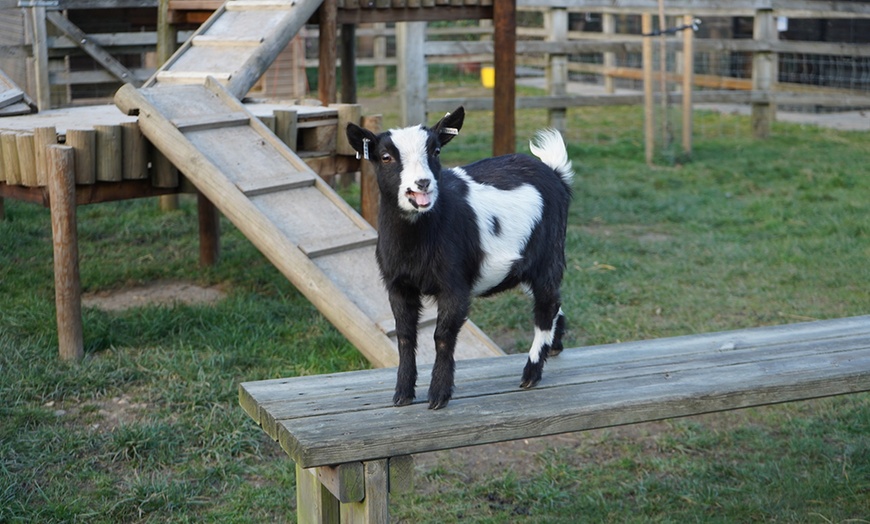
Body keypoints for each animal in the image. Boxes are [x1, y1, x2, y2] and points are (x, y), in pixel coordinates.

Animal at [348, 106, 580, 410]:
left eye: (435, 151)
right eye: (385, 157)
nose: (422, 183)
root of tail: (555, 173)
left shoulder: (454, 283)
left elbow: (442, 336)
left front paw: (438, 395)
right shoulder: (398, 285)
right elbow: (405, 335)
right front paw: (402, 394)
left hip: (548, 255)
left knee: (545, 307)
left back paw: (531, 373)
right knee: (554, 304)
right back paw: (555, 346)